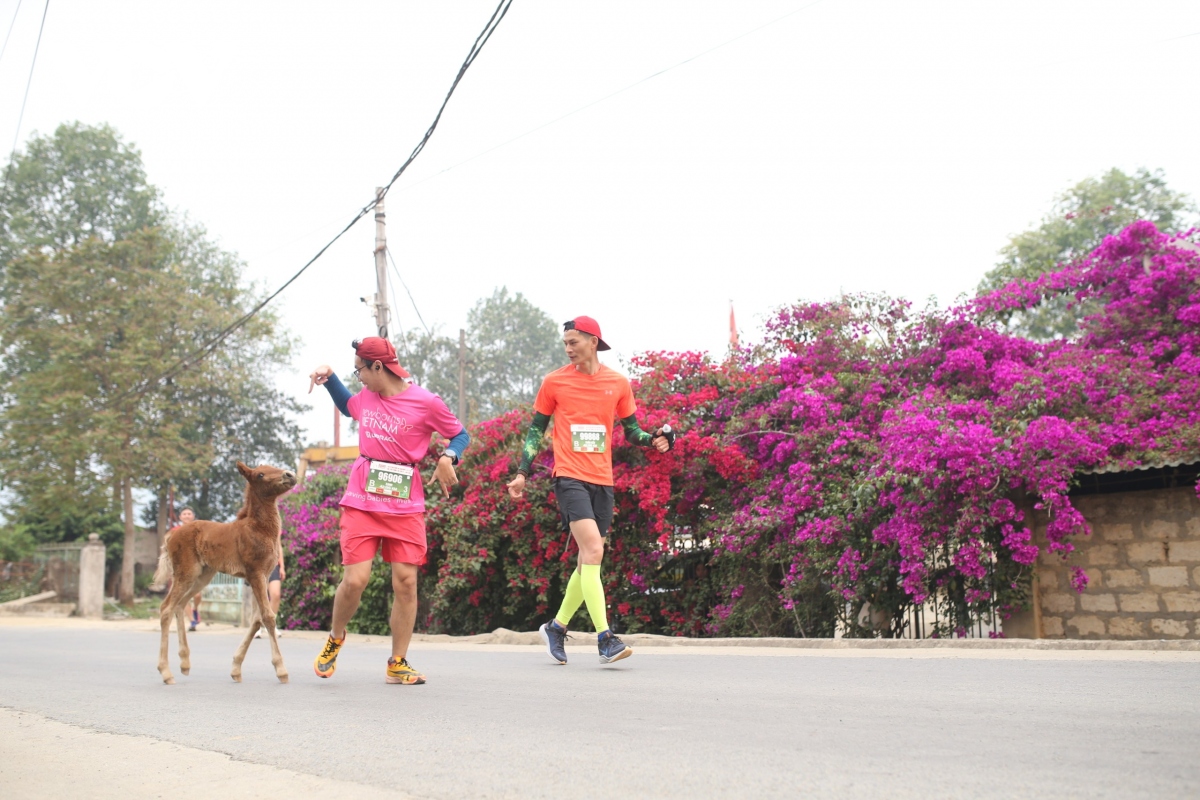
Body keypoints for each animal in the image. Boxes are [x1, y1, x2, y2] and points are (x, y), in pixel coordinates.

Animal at [154, 465, 297, 686]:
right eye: (260, 474)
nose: (290, 475)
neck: (259, 528)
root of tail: (170, 536)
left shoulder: (263, 576)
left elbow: (256, 619)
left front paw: (236, 668)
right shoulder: (255, 573)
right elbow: (267, 617)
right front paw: (281, 670)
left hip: (203, 575)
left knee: (180, 604)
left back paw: (184, 663)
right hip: (186, 572)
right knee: (167, 607)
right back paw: (166, 672)